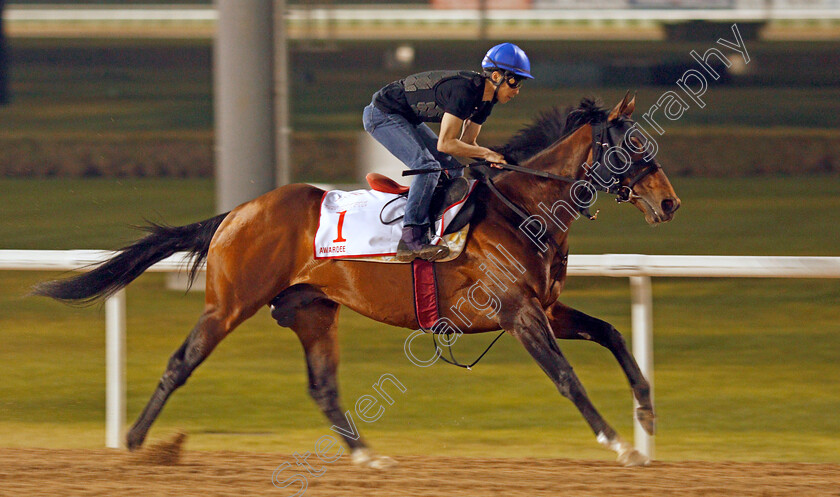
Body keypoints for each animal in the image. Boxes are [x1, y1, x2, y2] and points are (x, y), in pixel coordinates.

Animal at [32, 94, 680, 468]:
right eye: (631, 146)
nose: (670, 202)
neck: (522, 208)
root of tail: (238, 211)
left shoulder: (545, 308)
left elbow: (612, 333)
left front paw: (647, 413)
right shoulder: (518, 314)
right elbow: (568, 378)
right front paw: (620, 444)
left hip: (312, 309)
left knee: (323, 386)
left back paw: (366, 455)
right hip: (230, 302)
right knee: (180, 361)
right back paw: (137, 443)